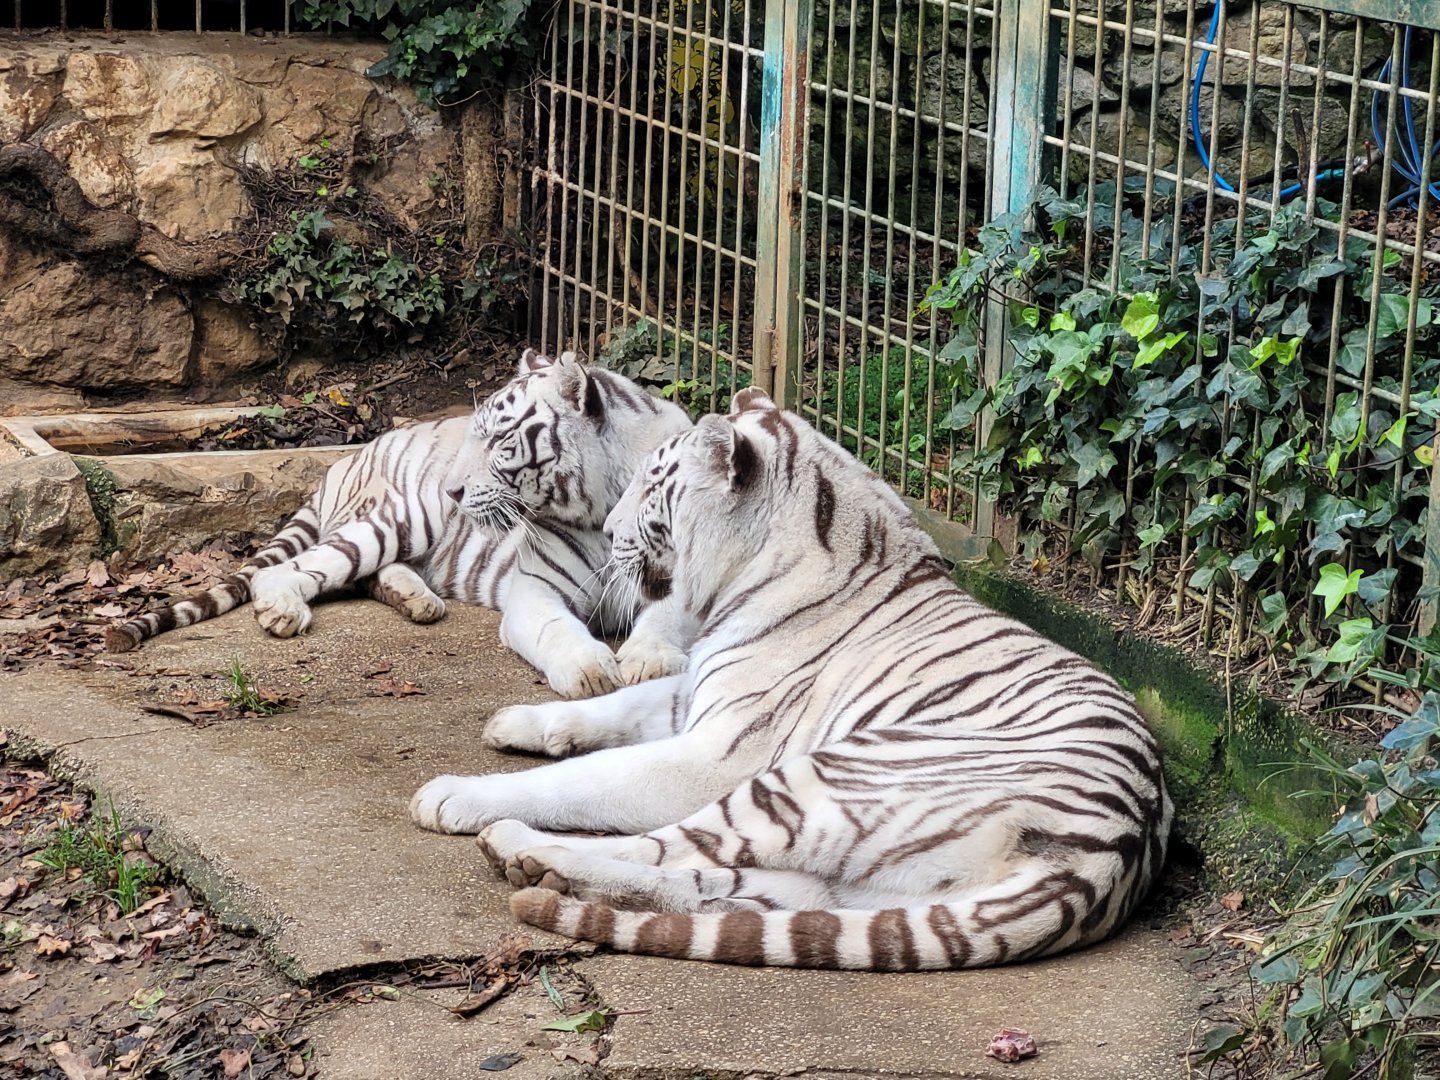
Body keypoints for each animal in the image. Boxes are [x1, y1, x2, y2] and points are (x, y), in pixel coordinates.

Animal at [104, 349, 695, 699]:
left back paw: (417, 600)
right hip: (404, 517)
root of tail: (343, 459)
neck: (601, 498)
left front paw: (647, 660)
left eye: (499, 441)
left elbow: (666, 618)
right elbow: (556, 627)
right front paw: (590, 671)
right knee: (293, 570)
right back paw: (283, 610)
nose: (455, 489)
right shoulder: (537, 588)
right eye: (476, 435)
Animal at [409, 387, 1173, 970]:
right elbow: (614, 707)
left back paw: (520, 847)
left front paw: (458, 793)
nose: (613, 531)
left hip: (810, 779)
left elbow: (586, 780)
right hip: (854, 883)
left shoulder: (717, 752)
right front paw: (517, 722)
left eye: (654, 485)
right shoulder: (695, 694)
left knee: (661, 846)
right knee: (722, 887)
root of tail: (1105, 862)